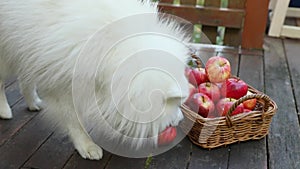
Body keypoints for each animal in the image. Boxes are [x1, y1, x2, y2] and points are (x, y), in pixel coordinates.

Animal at [0, 0, 190, 160]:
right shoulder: (62, 85)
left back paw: (33, 102)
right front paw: (87, 146)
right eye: (177, 103)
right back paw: (4, 110)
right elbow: (73, 120)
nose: (181, 119)